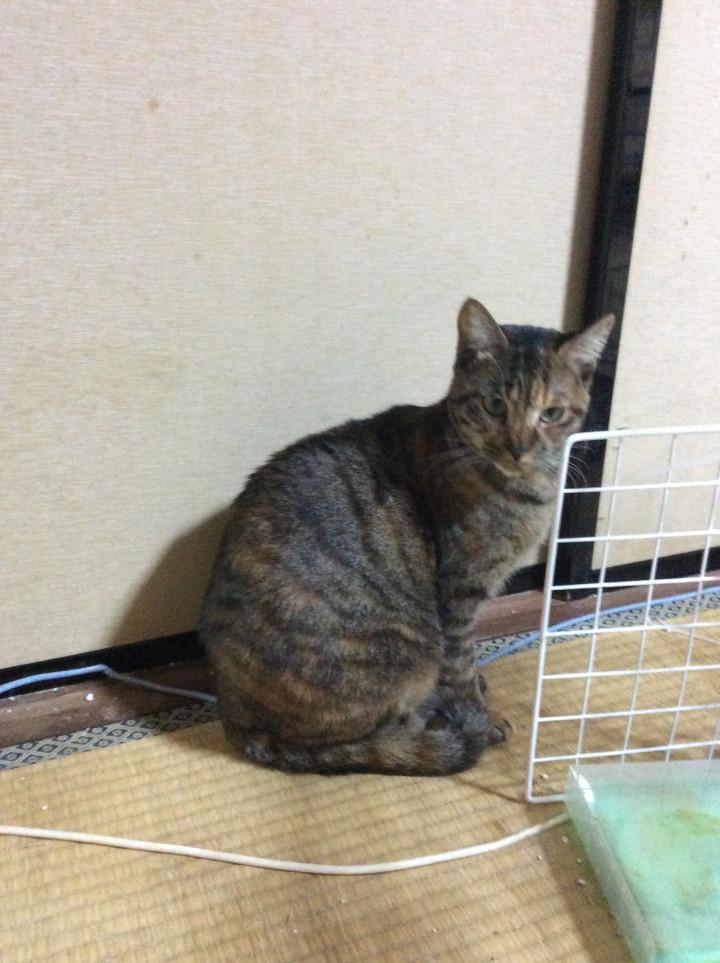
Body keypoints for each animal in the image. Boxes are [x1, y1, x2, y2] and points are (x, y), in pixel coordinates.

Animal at [200, 299, 614, 775]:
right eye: (494, 405)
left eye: (551, 413)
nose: (518, 447)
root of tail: (239, 722)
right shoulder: (457, 594)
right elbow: (460, 666)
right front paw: (482, 715)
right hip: (409, 652)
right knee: (376, 733)